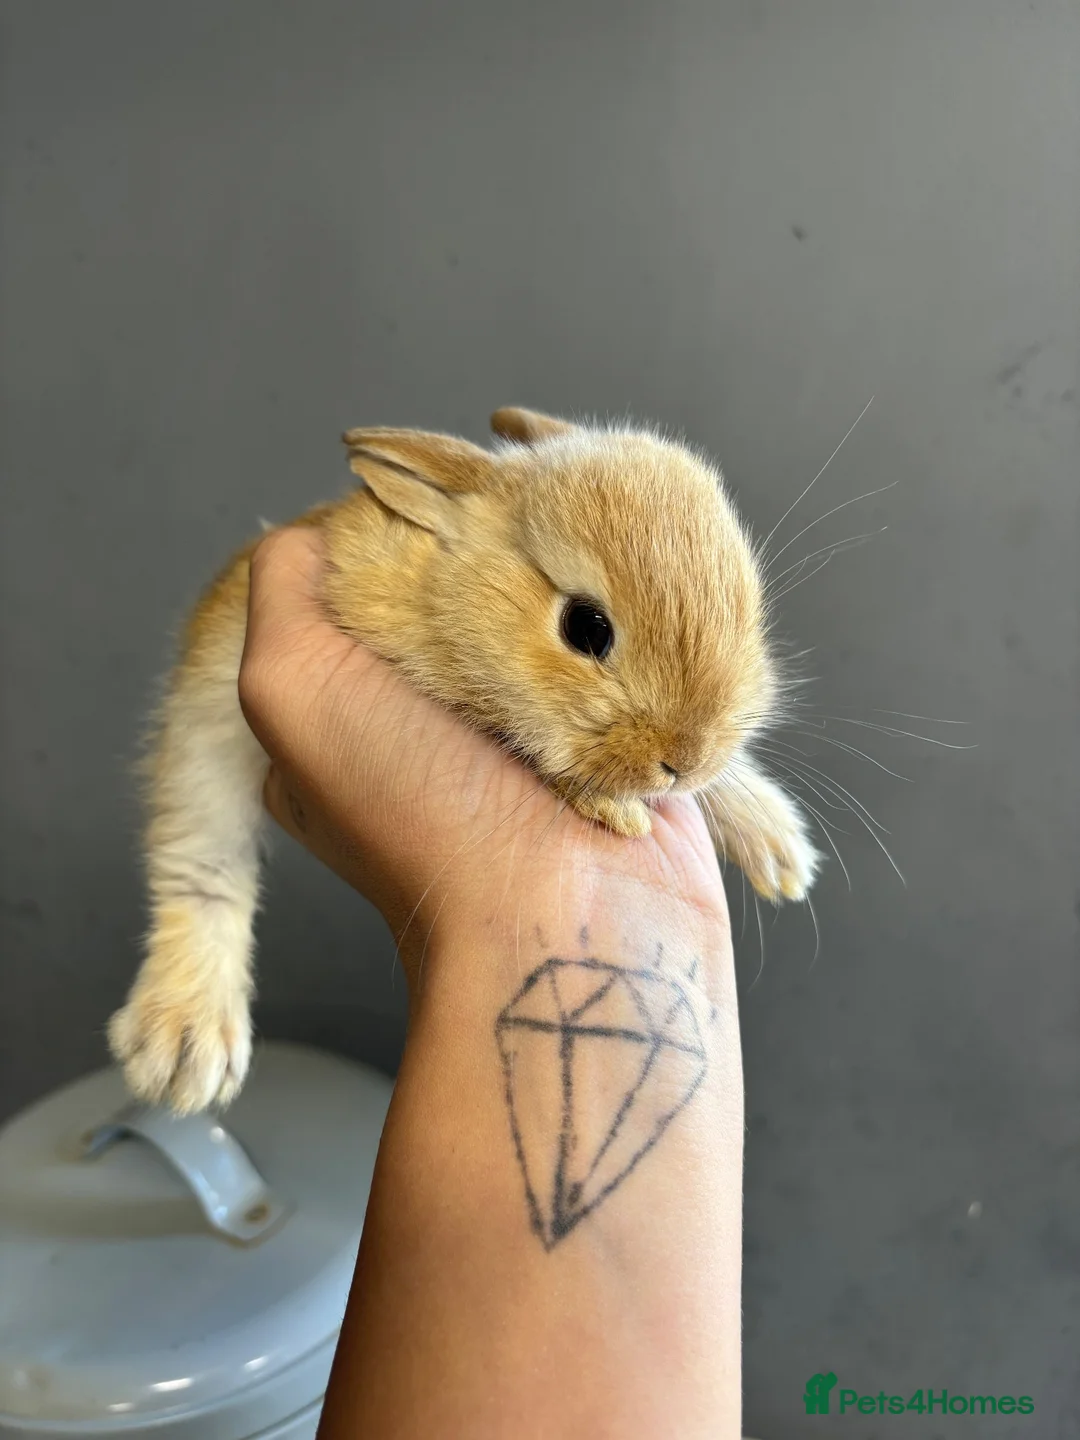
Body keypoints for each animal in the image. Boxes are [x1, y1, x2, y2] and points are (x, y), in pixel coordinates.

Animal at [107, 406, 821, 1114]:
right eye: (586, 627)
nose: (686, 758)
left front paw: (782, 853)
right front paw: (621, 811)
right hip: (205, 740)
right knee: (201, 869)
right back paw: (184, 1048)